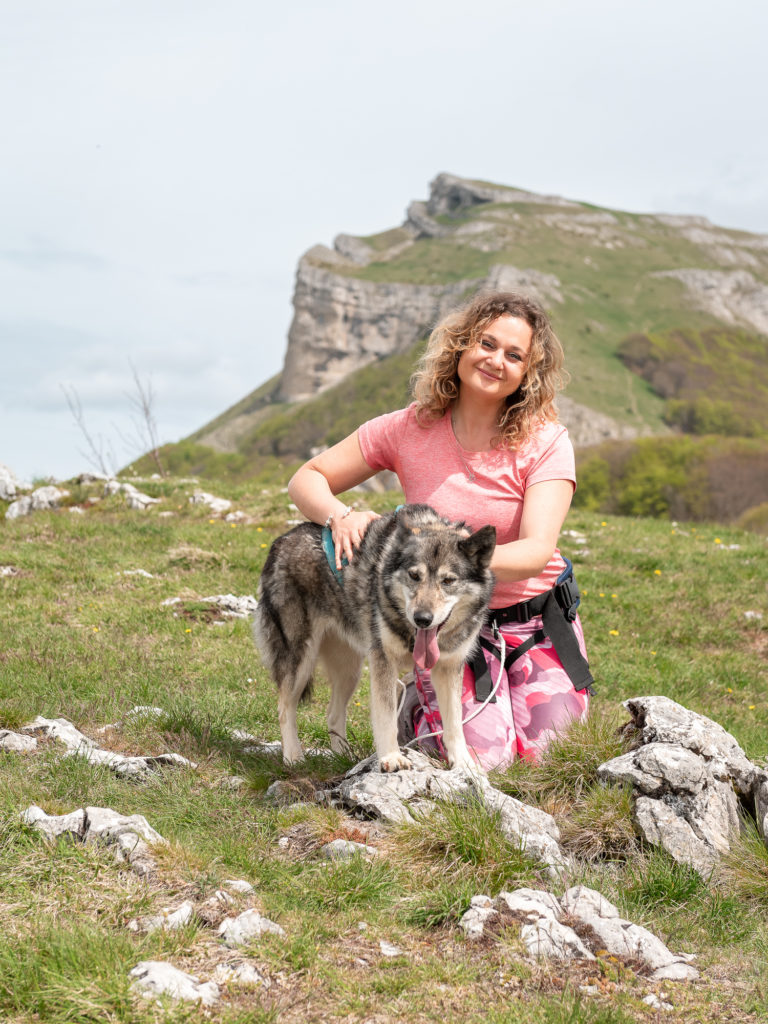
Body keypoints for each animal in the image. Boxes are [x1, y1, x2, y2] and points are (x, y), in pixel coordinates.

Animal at [252, 499, 495, 770]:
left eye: (448, 581)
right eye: (414, 576)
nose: (422, 618)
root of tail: (281, 540)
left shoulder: (449, 667)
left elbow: (454, 723)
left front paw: (465, 764)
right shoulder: (383, 662)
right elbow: (386, 715)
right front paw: (391, 757)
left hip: (350, 669)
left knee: (333, 714)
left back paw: (344, 757)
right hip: (300, 662)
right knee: (284, 708)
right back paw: (293, 758)